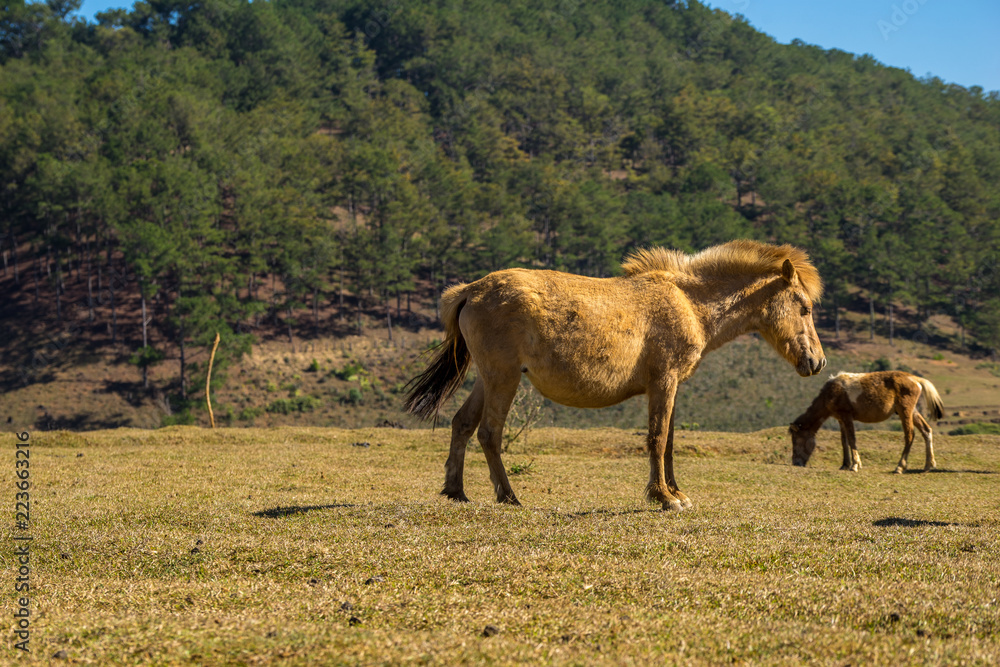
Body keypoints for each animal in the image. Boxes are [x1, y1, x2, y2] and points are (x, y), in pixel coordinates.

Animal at [404, 240, 826, 511]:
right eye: (804, 308)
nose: (818, 362)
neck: (689, 303)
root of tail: (469, 291)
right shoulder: (663, 382)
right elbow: (657, 439)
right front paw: (663, 498)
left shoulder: (671, 387)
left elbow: (669, 442)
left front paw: (677, 493)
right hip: (503, 377)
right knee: (489, 433)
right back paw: (508, 496)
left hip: (486, 377)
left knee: (461, 424)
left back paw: (456, 491)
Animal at [789, 371, 944, 473]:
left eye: (796, 440)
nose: (796, 463)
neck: (831, 392)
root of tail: (915, 379)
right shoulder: (840, 419)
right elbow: (844, 441)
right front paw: (845, 464)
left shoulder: (847, 417)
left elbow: (852, 439)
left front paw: (855, 465)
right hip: (913, 412)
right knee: (926, 431)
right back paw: (928, 465)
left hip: (905, 412)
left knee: (910, 436)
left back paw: (900, 467)